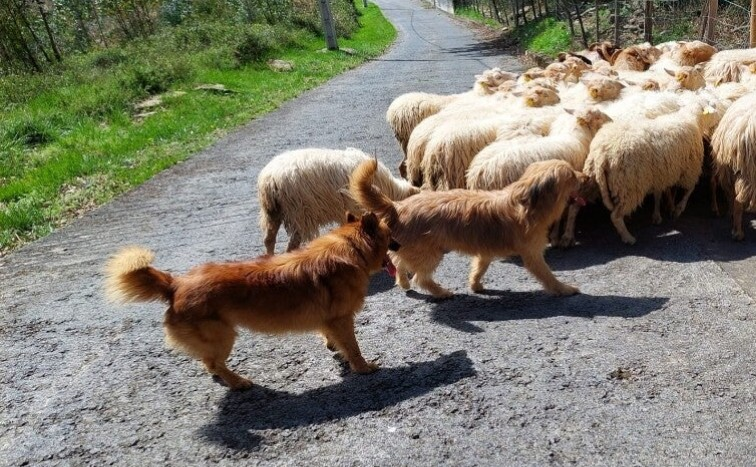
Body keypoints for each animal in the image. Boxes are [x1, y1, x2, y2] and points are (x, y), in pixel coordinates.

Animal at [105, 212, 398, 390]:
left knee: (208, 362)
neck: (351, 248)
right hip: (222, 336)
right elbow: (354, 348)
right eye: (387, 235)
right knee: (213, 362)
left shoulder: (329, 320)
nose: (398, 243)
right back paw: (237, 382)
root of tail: (175, 284)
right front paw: (363, 367)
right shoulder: (341, 319)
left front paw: (334, 348)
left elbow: (332, 338)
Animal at [258, 147, 419, 254]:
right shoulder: (357, 206)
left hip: (273, 212)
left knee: (269, 239)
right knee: (292, 244)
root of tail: (269, 179)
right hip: (299, 213)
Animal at [350, 159, 586, 298]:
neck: (527, 203)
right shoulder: (532, 255)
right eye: (571, 175)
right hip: (430, 253)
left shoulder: (486, 252)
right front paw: (564, 289)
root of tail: (397, 207)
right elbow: (548, 275)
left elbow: (479, 268)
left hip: (412, 248)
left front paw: (475, 285)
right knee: (421, 277)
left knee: (399, 262)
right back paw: (440, 292)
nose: (587, 177)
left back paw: (403, 282)